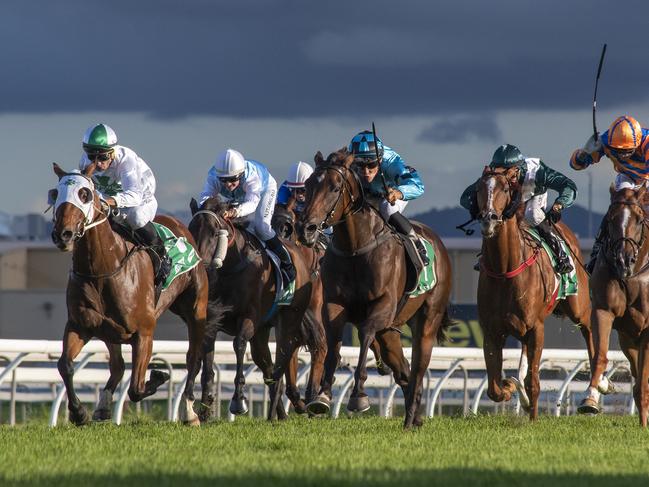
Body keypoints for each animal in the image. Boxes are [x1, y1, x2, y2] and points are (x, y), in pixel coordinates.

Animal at [50, 162, 205, 426]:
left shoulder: (144, 332)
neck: (102, 270)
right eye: (55, 193)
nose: (63, 234)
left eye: (84, 194)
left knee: (193, 359)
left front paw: (159, 375)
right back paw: (102, 407)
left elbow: (136, 388)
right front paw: (79, 412)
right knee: (117, 366)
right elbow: (66, 365)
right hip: (110, 331)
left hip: (196, 310)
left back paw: (189, 411)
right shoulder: (81, 325)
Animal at [187, 197, 322, 420]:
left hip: (289, 320)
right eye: (191, 229)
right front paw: (204, 409)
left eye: (215, 232)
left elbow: (239, 344)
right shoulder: (212, 319)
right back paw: (280, 414)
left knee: (283, 358)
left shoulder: (248, 316)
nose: (202, 265)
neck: (232, 265)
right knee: (268, 367)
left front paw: (238, 401)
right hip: (262, 332)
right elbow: (207, 361)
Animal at [298, 148, 450, 428]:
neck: (355, 248)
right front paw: (322, 396)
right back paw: (414, 418)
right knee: (404, 372)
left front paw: (359, 396)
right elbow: (333, 347)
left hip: (427, 320)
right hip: (390, 332)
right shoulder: (333, 305)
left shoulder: (383, 305)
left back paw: (410, 419)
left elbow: (365, 334)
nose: (306, 228)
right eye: (308, 185)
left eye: (335, 188)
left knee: (418, 369)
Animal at [474, 166, 600, 422]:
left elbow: (534, 382)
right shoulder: (492, 331)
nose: (488, 219)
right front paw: (509, 387)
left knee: (590, 333)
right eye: (479, 188)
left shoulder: (536, 328)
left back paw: (596, 391)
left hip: (578, 308)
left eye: (504, 189)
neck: (504, 270)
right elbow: (494, 387)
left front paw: (532, 419)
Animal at [580, 187, 649, 428]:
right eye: (610, 219)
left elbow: (643, 381)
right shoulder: (603, 310)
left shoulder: (647, 327)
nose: (623, 260)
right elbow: (599, 356)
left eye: (639, 219)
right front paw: (591, 397)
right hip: (628, 340)